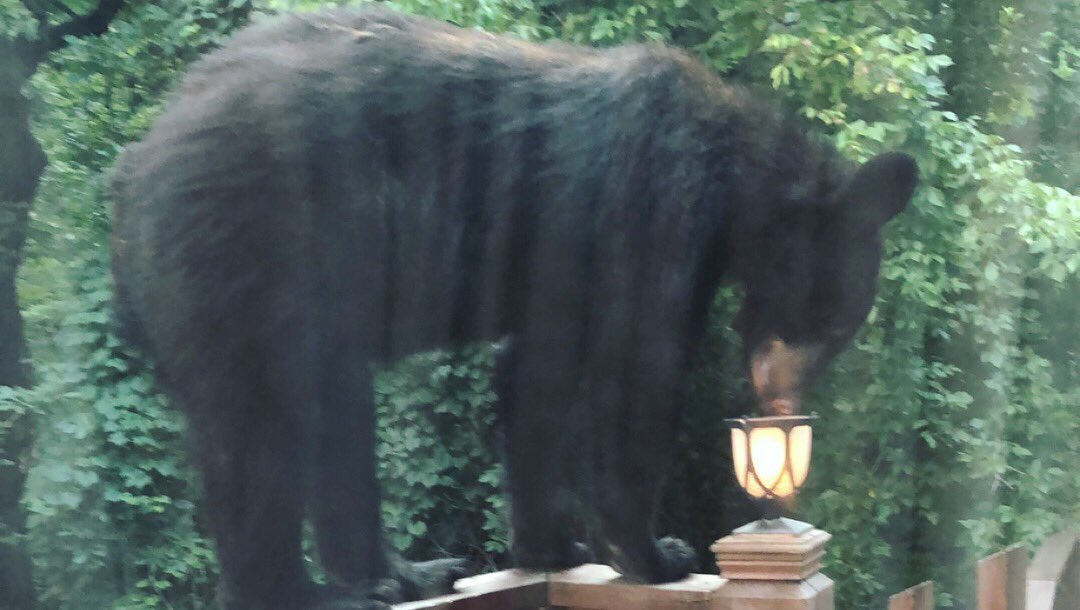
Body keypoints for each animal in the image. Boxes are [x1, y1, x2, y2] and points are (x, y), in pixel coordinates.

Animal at [109, 6, 916, 610]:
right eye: (832, 323)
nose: (780, 402)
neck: (736, 184)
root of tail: (133, 169)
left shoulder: (556, 275)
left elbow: (538, 377)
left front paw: (551, 546)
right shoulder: (651, 205)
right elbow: (636, 367)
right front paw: (656, 551)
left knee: (328, 421)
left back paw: (405, 573)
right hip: (250, 252)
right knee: (258, 438)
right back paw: (309, 589)